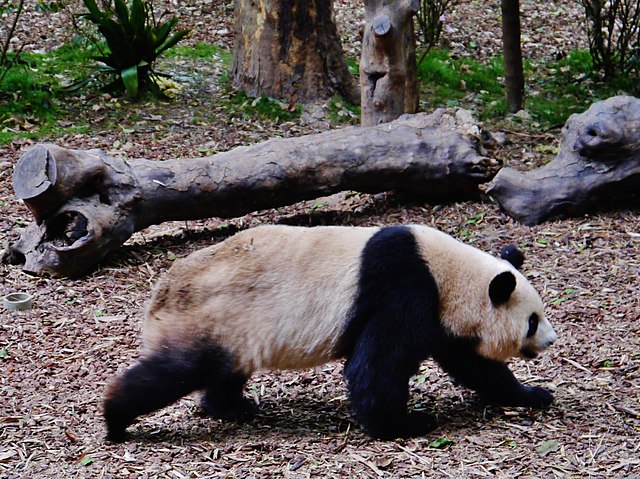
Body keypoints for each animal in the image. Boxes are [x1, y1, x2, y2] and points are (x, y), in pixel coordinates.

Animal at [104, 224, 556, 442]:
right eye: (532, 320)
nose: (551, 341)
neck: (447, 272)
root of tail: (158, 295)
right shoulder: (404, 287)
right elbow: (375, 366)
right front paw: (405, 423)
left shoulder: (443, 317)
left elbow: (473, 365)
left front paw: (533, 395)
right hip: (205, 316)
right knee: (173, 372)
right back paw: (116, 420)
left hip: (232, 327)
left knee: (223, 373)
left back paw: (232, 408)